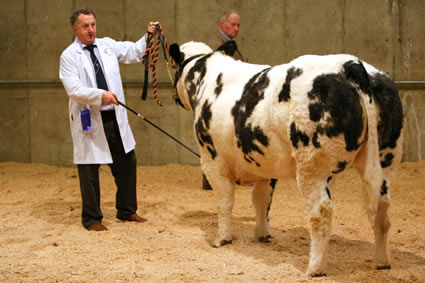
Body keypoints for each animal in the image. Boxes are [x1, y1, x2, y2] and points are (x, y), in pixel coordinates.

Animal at [168, 42, 400, 278]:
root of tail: (350, 64)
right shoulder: (264, 164)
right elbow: (261, 200)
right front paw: (262, 235)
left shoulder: (212, 160)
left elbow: (225, 201)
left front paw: (222, 239)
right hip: (385, 159)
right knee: (383, 208)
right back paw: (381, 262)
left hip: (312, 165)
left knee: (321, 212)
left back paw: (315, 268)